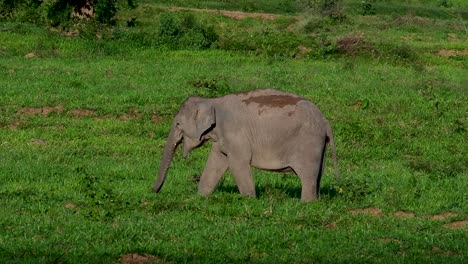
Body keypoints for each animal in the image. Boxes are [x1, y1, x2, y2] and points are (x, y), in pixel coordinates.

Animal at [152, 87, 338, 201]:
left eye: (178, 124)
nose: (153, 191)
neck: (212, 101)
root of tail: (326, 122)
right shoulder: (223, 137)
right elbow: (216, 161)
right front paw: (200, 197)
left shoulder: (235, 133)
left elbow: (237, 164)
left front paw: (249, 199)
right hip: (319, 146)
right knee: (317, 175)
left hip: (308, 143)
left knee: (307, 176)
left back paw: (306, 203)